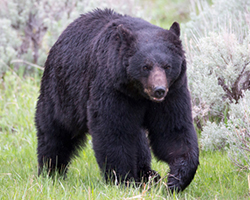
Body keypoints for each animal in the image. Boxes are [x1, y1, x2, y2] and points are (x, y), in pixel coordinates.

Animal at [35, 9, 199, 192]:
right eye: (145, 66)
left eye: (167, 66)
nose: (159, 90)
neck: (138, 93)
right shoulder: (112, 87)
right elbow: (113, 130)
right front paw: (123, 180)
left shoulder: (173, 92)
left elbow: (172, 130)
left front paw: (176, 179)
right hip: (63, 91)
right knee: (55, 131)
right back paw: (51, 171)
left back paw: (148, 174)